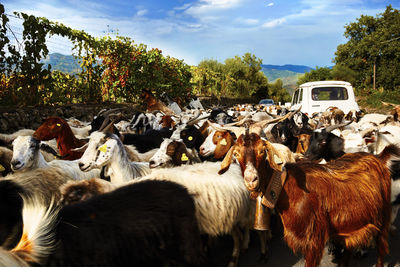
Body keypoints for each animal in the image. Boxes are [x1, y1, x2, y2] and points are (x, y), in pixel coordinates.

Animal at [219, 133, 394, 267]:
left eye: (263, 151)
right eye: (236, 154)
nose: (251, 179)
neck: (286, 187)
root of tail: (377, 158)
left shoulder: (314, 240)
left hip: (383, 216)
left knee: (382, 249)